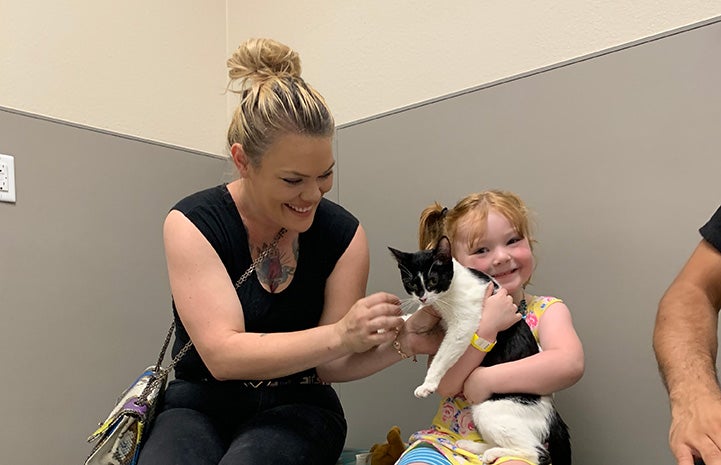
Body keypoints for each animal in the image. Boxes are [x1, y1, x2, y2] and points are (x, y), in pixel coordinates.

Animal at [388, 236, 568, 464]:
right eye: (411, 283)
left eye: (433, 280)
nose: (422, 297)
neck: (450, 292)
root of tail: (550, 413)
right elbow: (416, 317)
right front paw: (400, 322)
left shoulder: (463, 326)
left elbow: (441, 357)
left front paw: (428, 384)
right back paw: (473, 446)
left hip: (490, 409)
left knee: (534, 453)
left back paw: (492, 453)